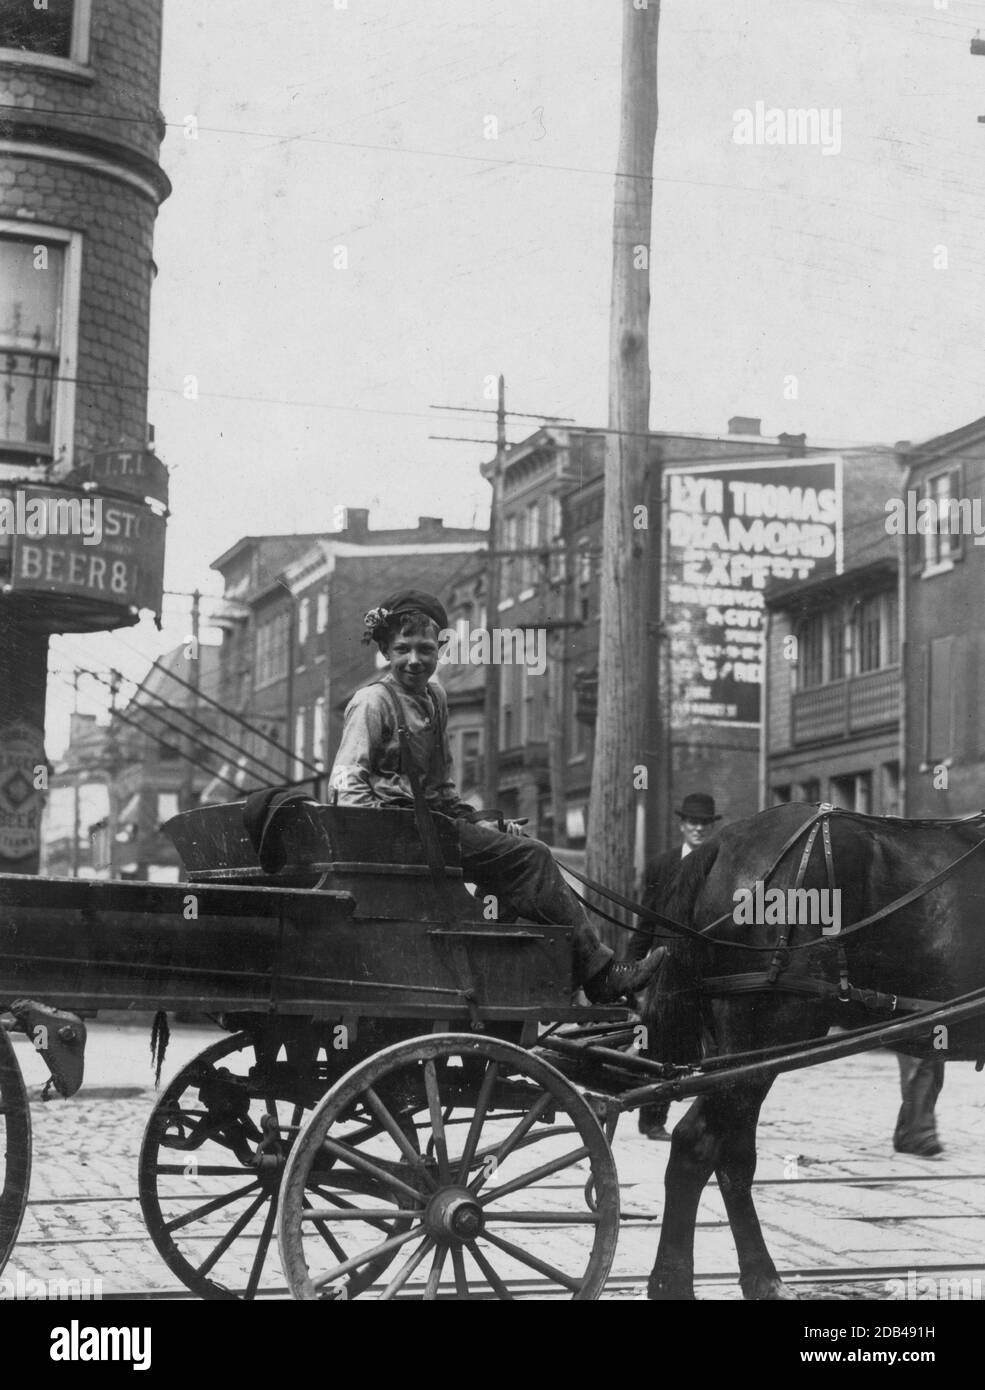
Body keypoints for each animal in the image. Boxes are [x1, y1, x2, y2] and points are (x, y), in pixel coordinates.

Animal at [639, 806, 983, 1301]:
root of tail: (723, 841)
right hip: (767, 1034)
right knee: (697, 1145)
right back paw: (674, 1282)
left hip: (739, 1048)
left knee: (733, 1155)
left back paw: (762, 1278)